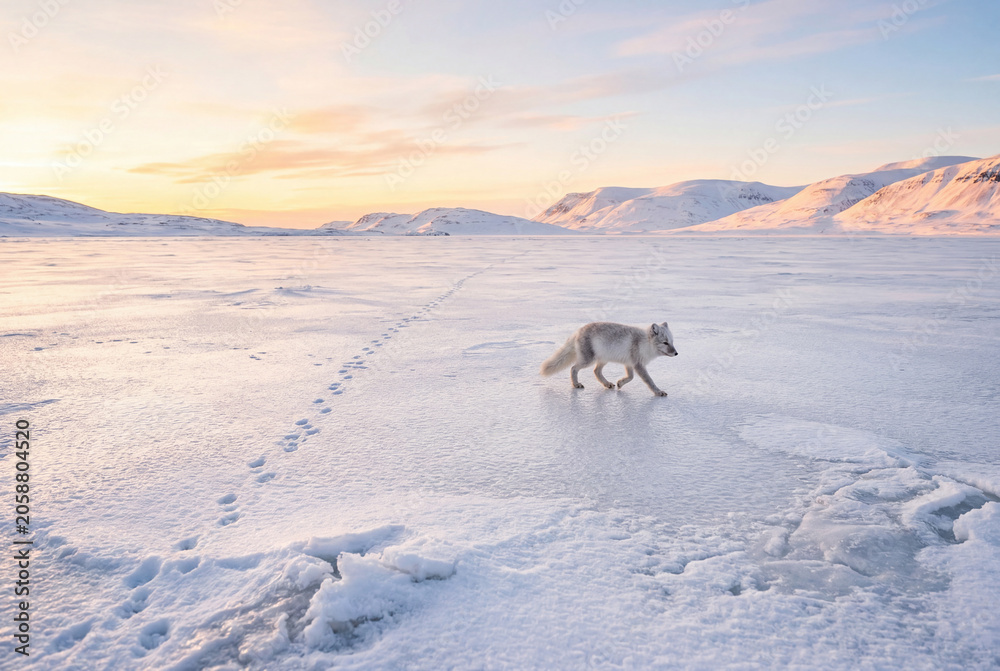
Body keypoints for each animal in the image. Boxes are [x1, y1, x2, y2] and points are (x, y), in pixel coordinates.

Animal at [540, 322, 678, 396]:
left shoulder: (629, 363)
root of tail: (578, 331)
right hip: (588, 360)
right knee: (573, 368)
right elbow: (649, 381)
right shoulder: (638, 365)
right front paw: (658, 392)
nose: (676, 353)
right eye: (665, 343)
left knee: (596, 371)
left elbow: (630, 377)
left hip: (602, 360)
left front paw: (620, 383)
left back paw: (607, 384)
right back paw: (576, 384)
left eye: (671, 342)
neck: (645, 343)